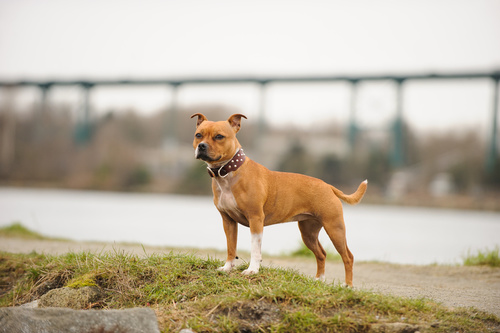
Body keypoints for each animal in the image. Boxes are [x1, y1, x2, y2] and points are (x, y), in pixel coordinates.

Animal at [191, 113, 368, 284]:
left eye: (219, 136)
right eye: (198, 135)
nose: (202, 146)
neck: (228, 173)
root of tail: (328, 186)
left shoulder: (255, 219)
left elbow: (255, 249)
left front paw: (252, 270)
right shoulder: (228, 221)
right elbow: (231, 247)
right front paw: (227, 268)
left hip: (334, 227)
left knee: (348, 256)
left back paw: (348, 286)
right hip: (308, 232)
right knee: (321, 253)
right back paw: (319, 280)